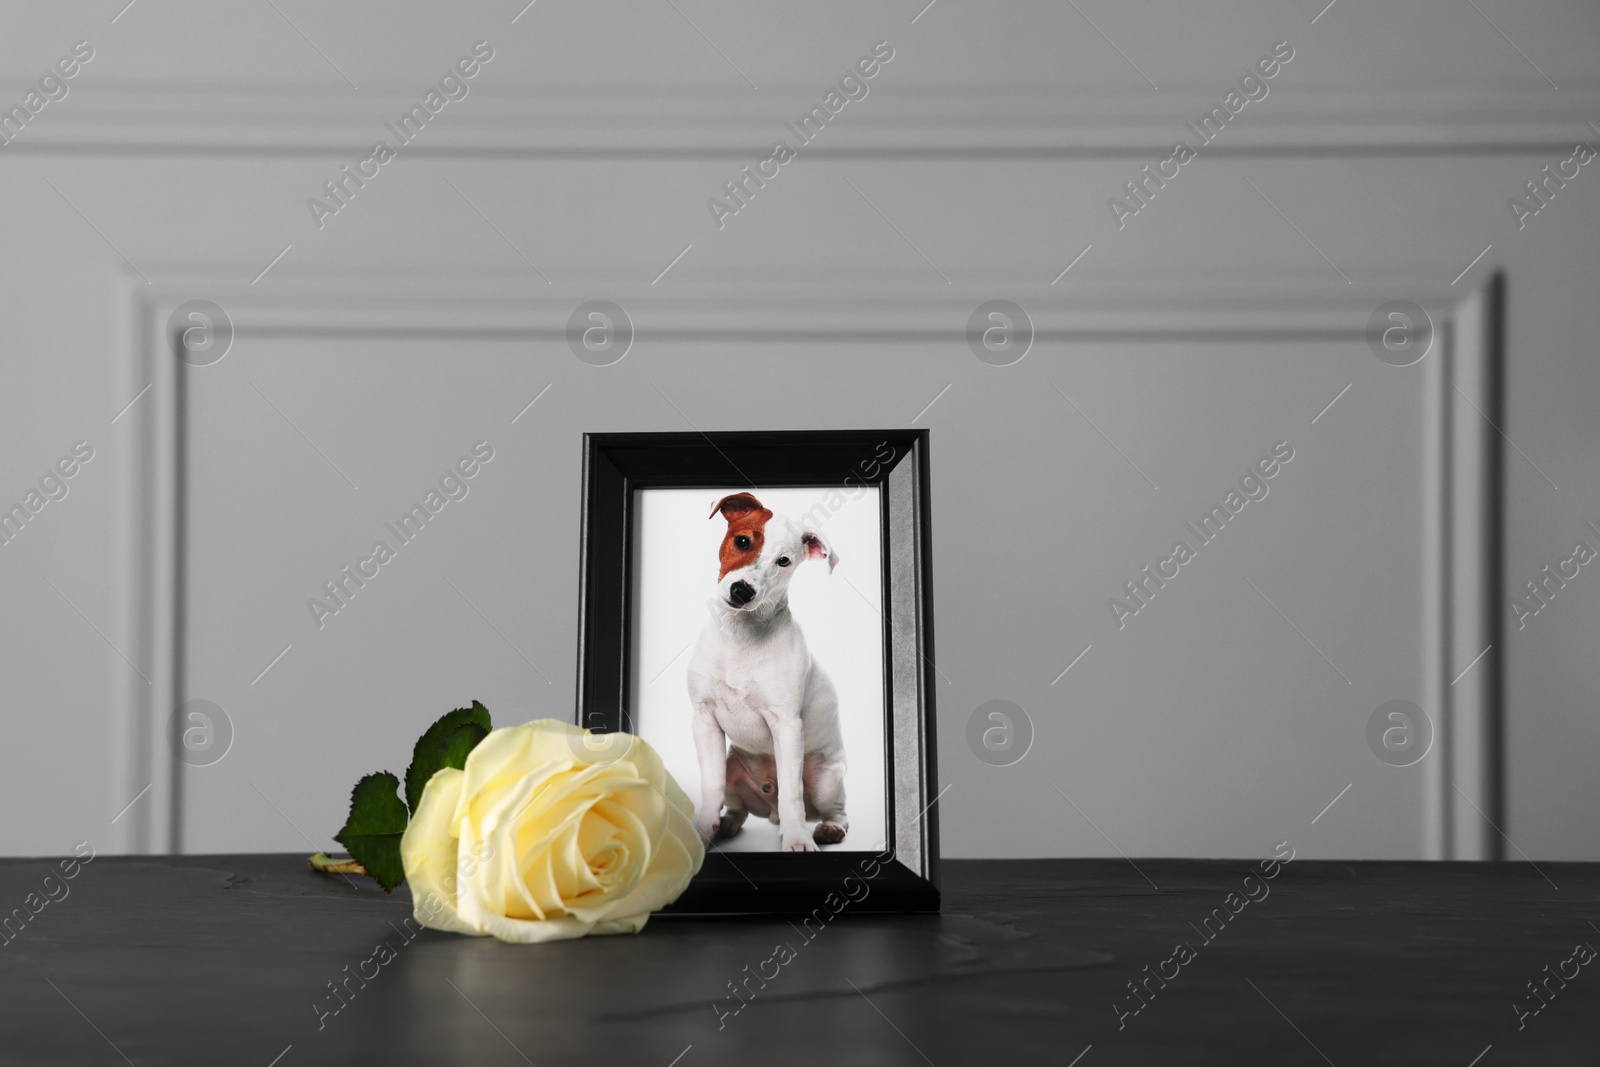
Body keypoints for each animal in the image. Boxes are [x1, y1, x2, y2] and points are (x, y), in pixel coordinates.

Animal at [688, 489, 851, 851]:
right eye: (743, 541)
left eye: (784, 561)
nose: (742, 590)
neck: (740, 637)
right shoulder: (704, 719)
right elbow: (711, 786)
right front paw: (701, 833)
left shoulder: (787, 725)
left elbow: (791, 793)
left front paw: (797, 839)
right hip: (734, 767)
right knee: (738, 807)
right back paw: (726, 824)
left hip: (824, 778)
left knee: (834, 808)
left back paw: (828, 828)